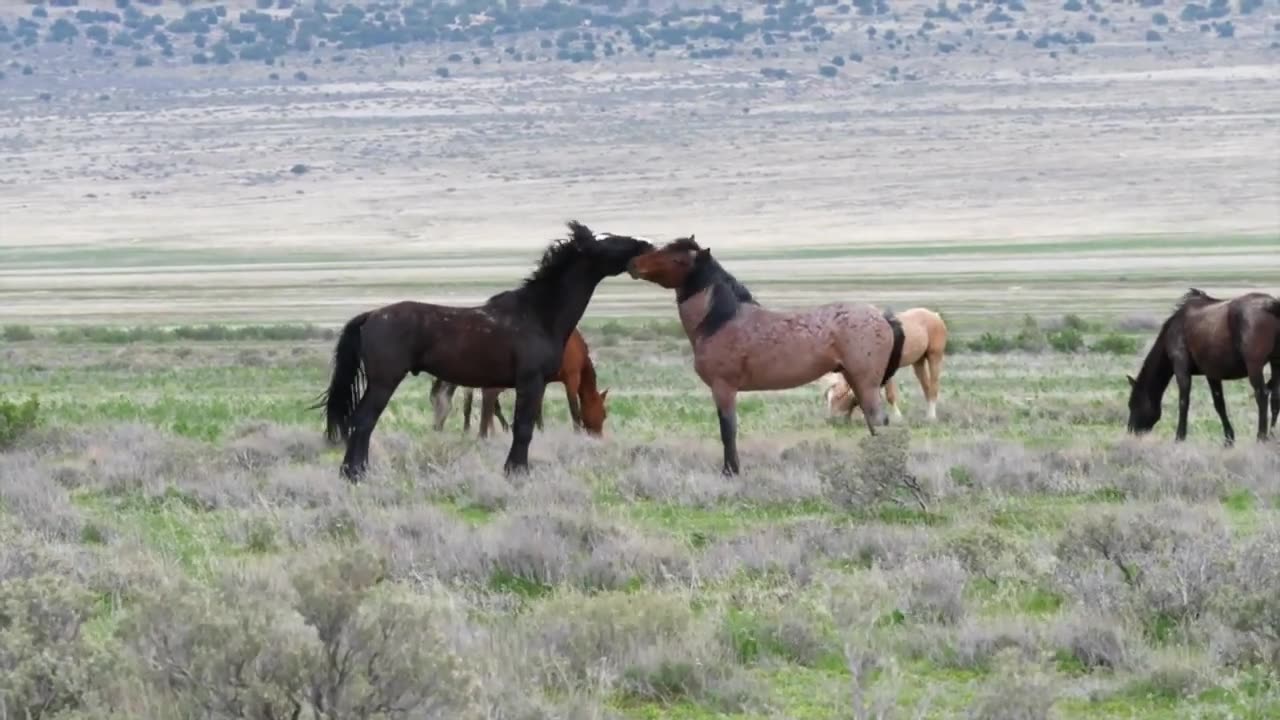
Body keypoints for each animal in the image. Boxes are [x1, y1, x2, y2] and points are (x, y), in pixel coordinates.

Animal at [427, 327, 611, 435]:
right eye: (604, 413)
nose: (598, 435)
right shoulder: (572, 378)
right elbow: (574, 410)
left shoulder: (543, 381)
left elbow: (538, 407)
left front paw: (540, 430)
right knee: (489, 401)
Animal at [624, 234, 906, 471]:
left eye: (677, 258)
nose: (633, 262)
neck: (723, 320)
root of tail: (881, 317)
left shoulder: (723, 388)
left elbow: (728, 430)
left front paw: (731, 471)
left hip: (865, 382)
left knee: (877, 420)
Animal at [1131, 286, 1280, 443]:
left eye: (1133, 403)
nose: (1131, 430)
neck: (1174, 328)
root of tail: (1272, 305)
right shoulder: (1212, 374)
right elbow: (1219, 404)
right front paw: (1228, 438)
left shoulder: (1181, 369)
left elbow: (1183, 402)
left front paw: (1179, 437)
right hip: (1276, 363)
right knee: (1276, 398)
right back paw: (1272, 434)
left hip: (1254, 366)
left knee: (1262, 394)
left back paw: (1261, 437)